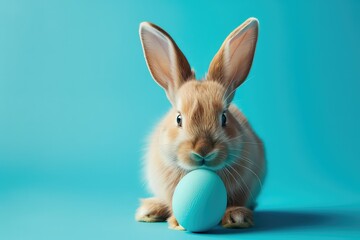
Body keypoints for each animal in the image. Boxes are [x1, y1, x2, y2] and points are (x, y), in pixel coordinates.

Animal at [136, 17, 266, 230]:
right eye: (179, 118)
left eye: (224, 117)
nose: (203, 150)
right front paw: (177, 222)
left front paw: (237, 217)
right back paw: (149, 210)